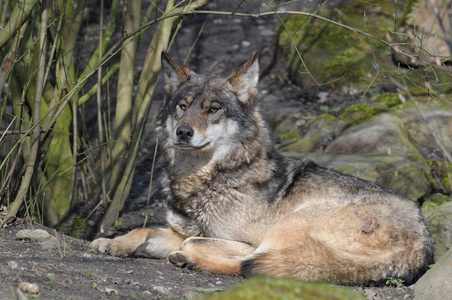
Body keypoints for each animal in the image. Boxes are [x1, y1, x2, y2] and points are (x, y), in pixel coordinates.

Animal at [90, 51, 432, 284]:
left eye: (213, 110)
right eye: (182, 106)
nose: (182, 132)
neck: (209, 179)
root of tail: (420, 245)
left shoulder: (242, 239)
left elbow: (198, 241)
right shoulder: (178, 229)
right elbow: (145, 229)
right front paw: (112, 243)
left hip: (289, 225)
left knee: (254, 264)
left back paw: (192, 260)